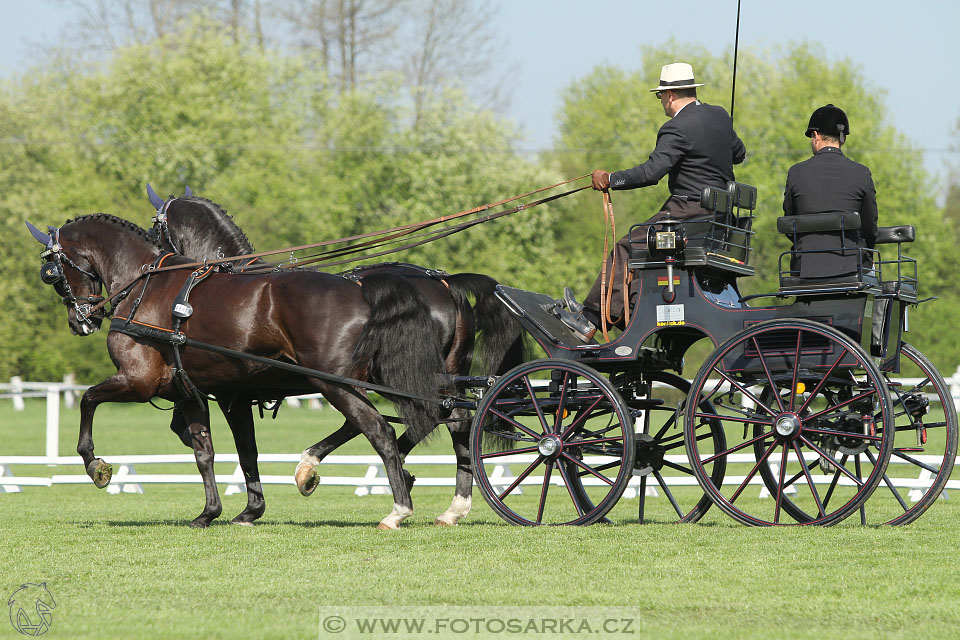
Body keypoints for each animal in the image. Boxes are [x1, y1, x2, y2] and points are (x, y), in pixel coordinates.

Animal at [26, 215, 446, 528]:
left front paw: (95, 465)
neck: (145, 286)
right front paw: (218, 512)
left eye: (52, 272)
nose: (81, 320)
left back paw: (397, 508)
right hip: (366, 382)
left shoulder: (138, 382)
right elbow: (213, 451)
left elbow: (87, 399)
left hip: (336, 385)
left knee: (381, 430)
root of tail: (359, 288)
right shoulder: (199, 393)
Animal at [146, 191, 528, 524]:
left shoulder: (234, 393)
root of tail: (445, 283)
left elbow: (243, 446)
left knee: (415, 419)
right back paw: (448, 504)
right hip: (433, 375)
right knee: (452, 421)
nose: (155, 267)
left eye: (156, 228)